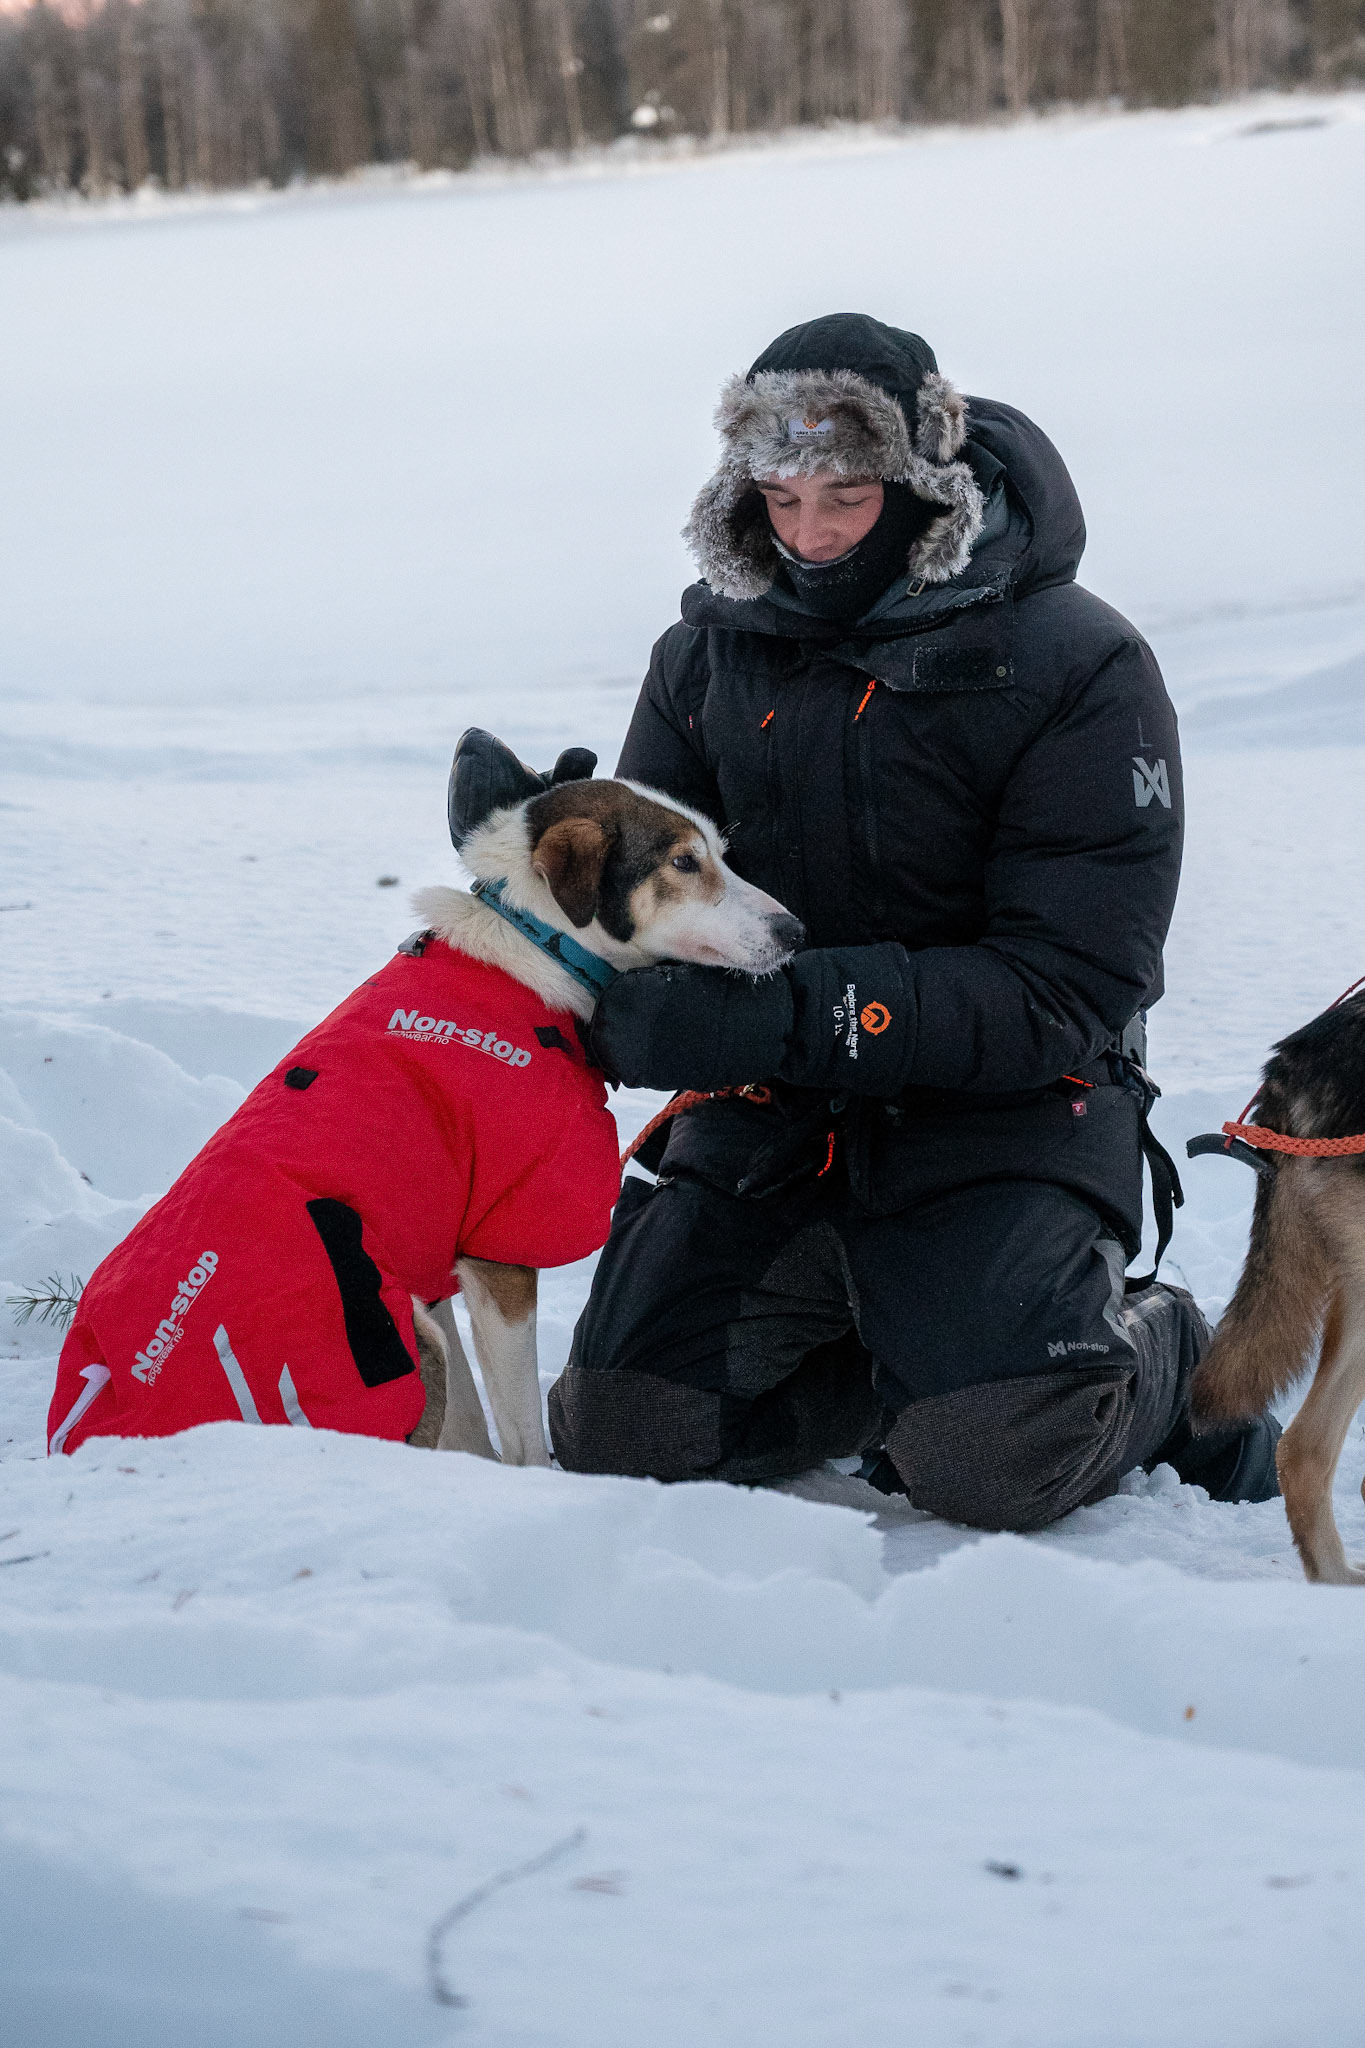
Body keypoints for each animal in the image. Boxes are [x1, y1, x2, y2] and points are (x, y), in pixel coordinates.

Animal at [47, 767, 803, 1464]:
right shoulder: (500, 1251)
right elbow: (521, 1437)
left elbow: (470, 1427)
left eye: (721, 852)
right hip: (386, 1336)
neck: (534, 948)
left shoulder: (436, 1262)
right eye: (683, 861)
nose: (794, 929)